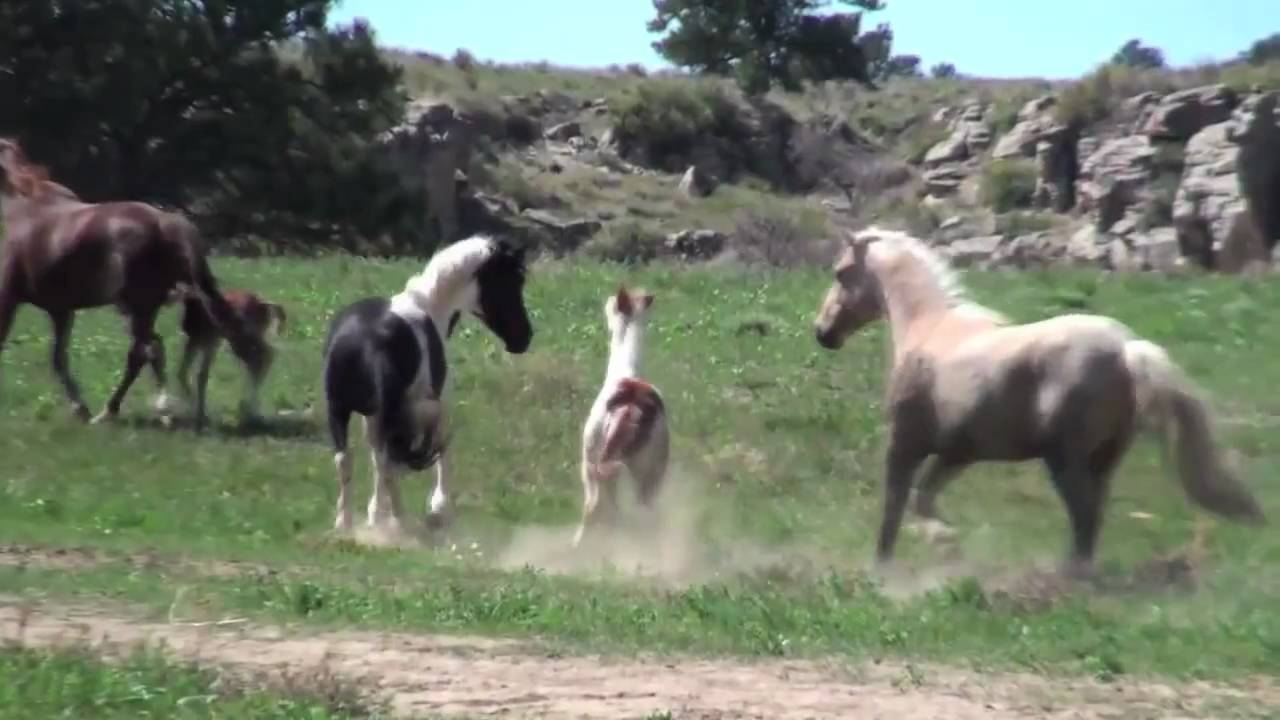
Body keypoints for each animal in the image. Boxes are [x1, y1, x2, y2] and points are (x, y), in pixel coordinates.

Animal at [0, 137, 267, 429]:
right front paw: (79, 408)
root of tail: (167, 224)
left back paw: (130, 411)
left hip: (138, 307)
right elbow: (58, 358)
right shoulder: (61, 310)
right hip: (143, 308)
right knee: (150, 350)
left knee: (143, 353)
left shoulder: (9, 297)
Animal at [323, 234, 532, 533]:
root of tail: (356, 342)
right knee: (390, 463)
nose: (523, 338)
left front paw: (376, 515)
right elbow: (441, 451)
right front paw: (440, 507)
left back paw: (346, 524)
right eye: (511, 281)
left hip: (338, 410)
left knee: (347, 460)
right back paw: (402, 522)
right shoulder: (438, 404)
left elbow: (374, 458)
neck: (429, 305)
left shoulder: (371, 416)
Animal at [575, 285, 670, 548]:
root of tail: (630, 406)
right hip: (643, 469)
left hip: (598, 462)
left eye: (610, 303)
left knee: (595, 508)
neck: (627, 370)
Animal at [812, 225, 1266, 578]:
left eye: (841, 273)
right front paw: (947, 544)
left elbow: (895, 505)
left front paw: (887, 566)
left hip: (1065, 460)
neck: (931, 330)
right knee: (1094, 518)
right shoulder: (957, 454)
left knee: (1084, 517)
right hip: (1102, 460)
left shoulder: (906, 443)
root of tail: (1125, 349)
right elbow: (923, 499)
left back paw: (1070, 576)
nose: (822, 331)